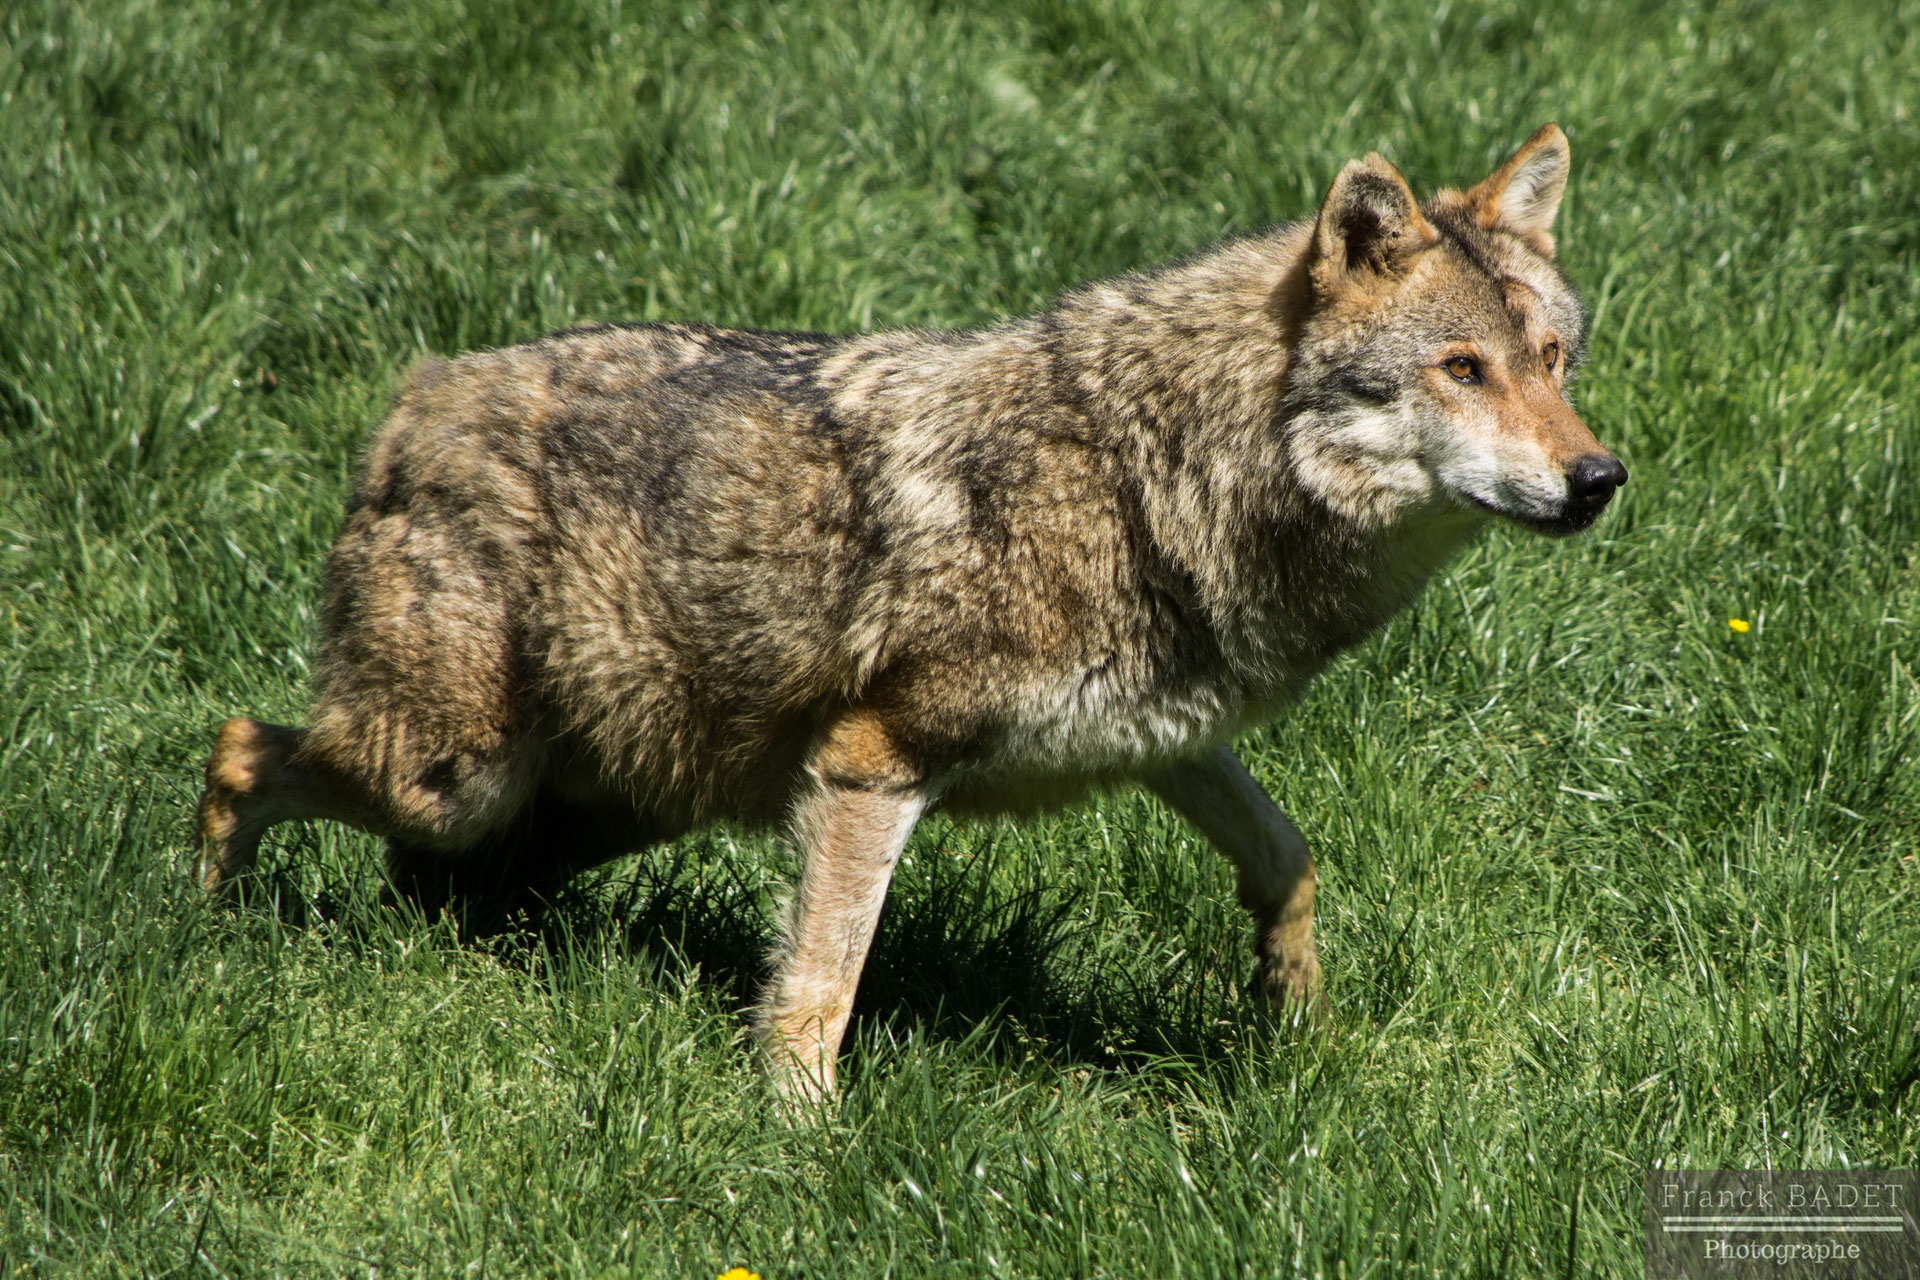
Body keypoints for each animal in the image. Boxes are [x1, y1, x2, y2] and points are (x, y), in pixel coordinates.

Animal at [202, 124, 1620, 1097]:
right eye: (1462, 368)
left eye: (1553, 362)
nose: (1599, 477)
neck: (1152, 474)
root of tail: (415, 394)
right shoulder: (871, 762)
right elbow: (823, 983)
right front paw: (795, 1140)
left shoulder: (1162, 737)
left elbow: (1288, 856)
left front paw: (1294, 1015)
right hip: (456, 778)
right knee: (238, 748)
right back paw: (208, 930)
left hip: (568, 810)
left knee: (415, 868)